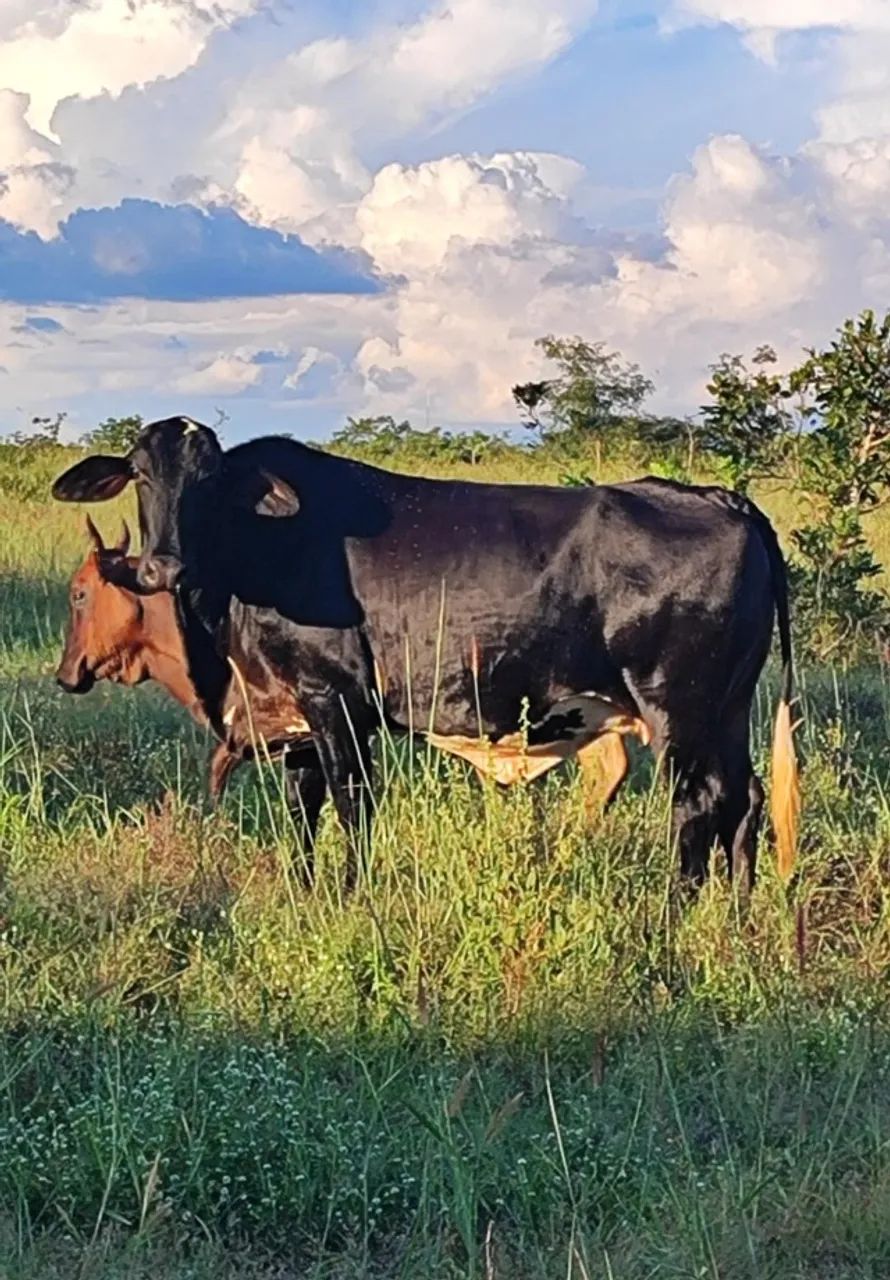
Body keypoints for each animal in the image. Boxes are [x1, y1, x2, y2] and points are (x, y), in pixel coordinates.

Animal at [52, 417, 800, 892]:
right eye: (140, 475)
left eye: (210, 481)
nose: (163, 567)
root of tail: (719, 498)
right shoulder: (298, 719)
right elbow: (303, 811)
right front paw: (306, 891)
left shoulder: (336, 701)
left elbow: (352, 806)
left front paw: (352, 897)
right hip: (727, 710)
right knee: (745, 800)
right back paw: (737, 916)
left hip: (679, 708)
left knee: (697, 807)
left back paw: (671, 921)